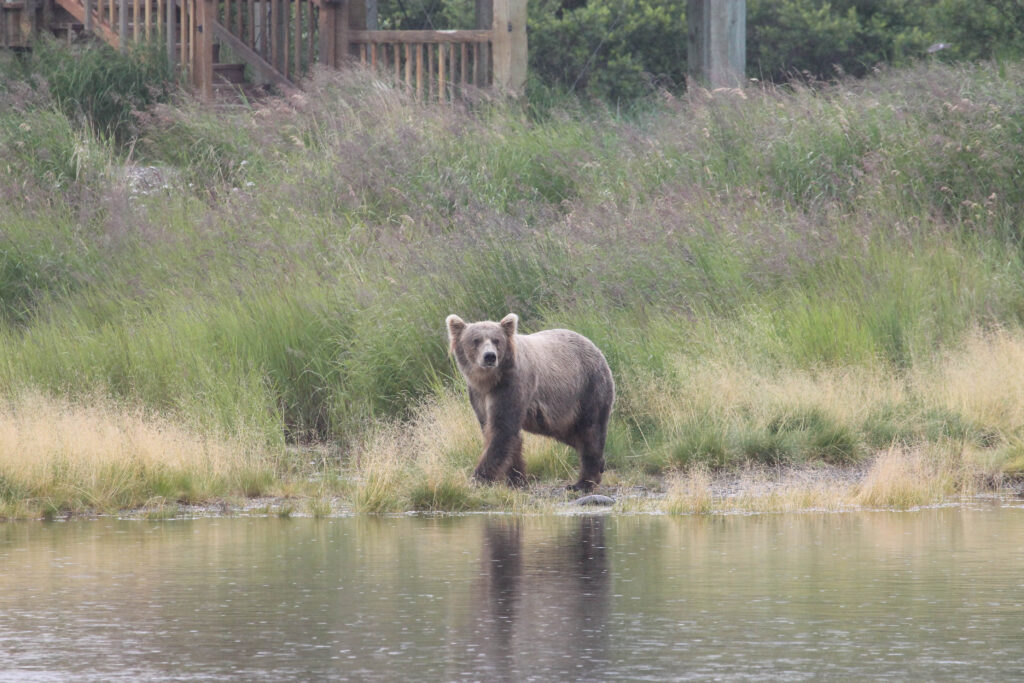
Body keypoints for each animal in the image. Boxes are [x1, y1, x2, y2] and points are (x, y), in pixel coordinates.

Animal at [446, 313, 615, 492]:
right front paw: (516, 479)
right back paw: (600, 464)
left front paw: (478, 478)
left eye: (496, 340)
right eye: (476, 340)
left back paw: (583, 482)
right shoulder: (479, 396)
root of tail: (595, 347)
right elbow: (496, 430)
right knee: (575, 435)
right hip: (562, 415)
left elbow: (502, 430)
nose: (489, 356)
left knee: (590, 431)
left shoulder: (510, 386)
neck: (489, 381)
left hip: (588, 388)